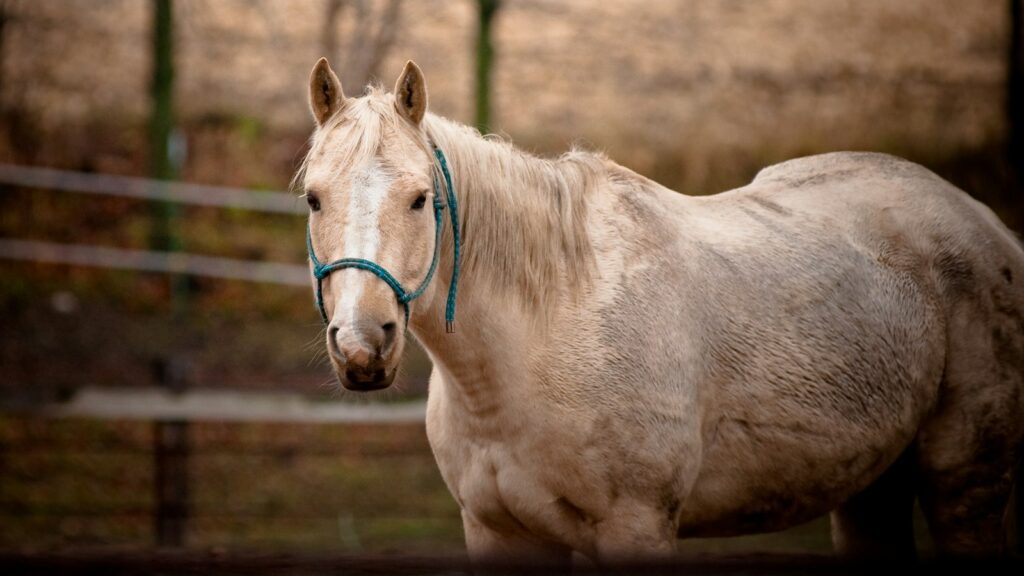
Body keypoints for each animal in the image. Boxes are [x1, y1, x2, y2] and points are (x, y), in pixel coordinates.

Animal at [296, 58, 1024, 566]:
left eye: (421, 199)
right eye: (313, 198)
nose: (363, 343)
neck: (539, 338)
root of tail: (988, 225)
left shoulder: (637, 524)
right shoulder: (498, 532)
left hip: (965, 481)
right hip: (871, 486)